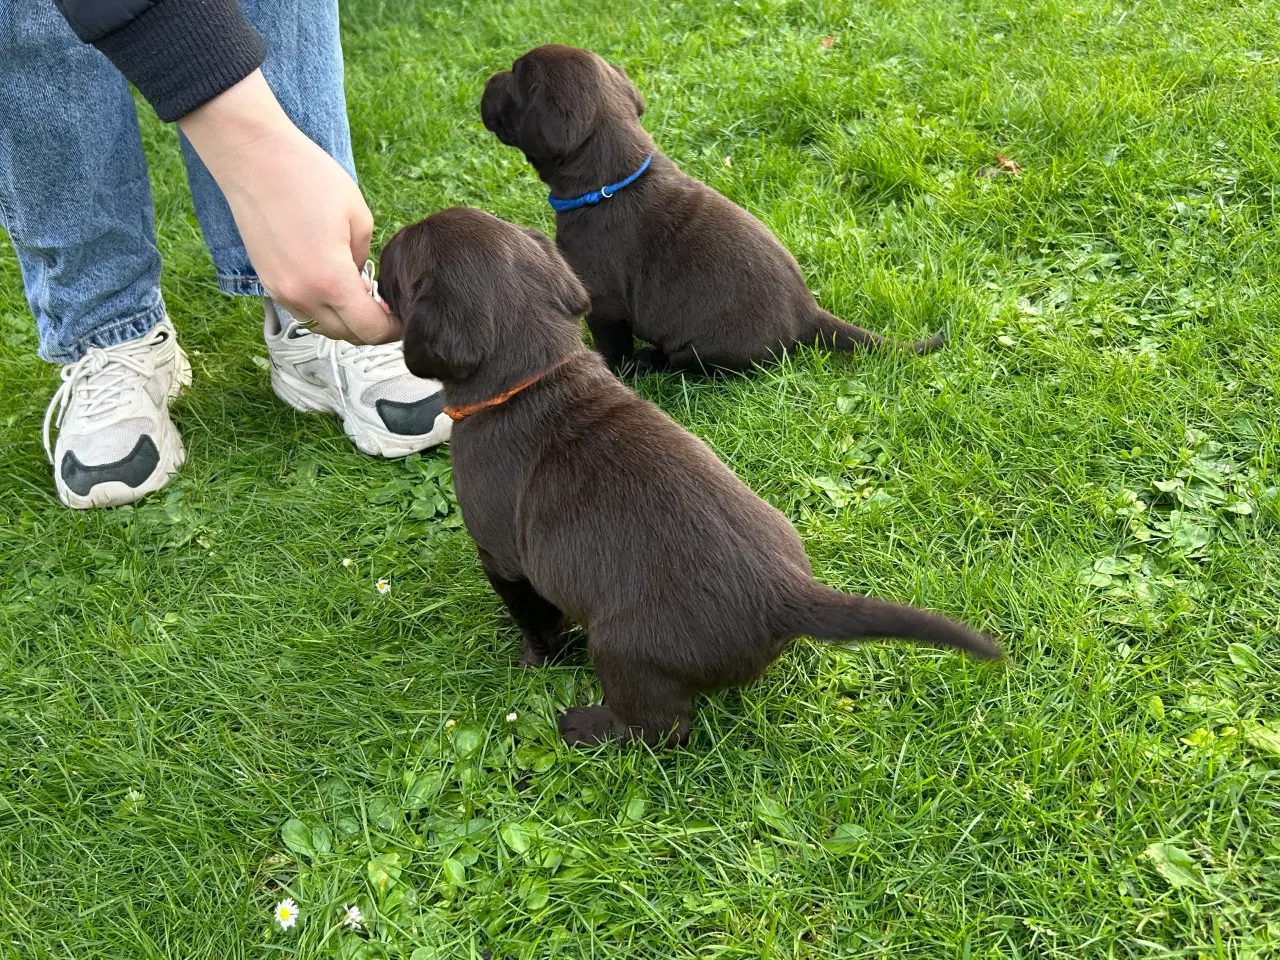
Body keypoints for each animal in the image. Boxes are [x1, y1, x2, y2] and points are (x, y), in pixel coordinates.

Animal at [378, 207, 998, 752]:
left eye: (398, 255)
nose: (375, 257)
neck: (533, 374)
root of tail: (785, 594)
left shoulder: (502, 557)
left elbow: (534, 618)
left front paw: (535, 659)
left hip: (624, 650)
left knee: (661, 728)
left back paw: (586, 727)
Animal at [481, 45, 942, 376]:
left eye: (515, 79)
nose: (486, 80)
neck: (610, 180)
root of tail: (808, 314)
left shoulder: (605, 303)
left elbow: (613, 348)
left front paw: (617, 369)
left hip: (702, 348)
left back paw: (654, 362)